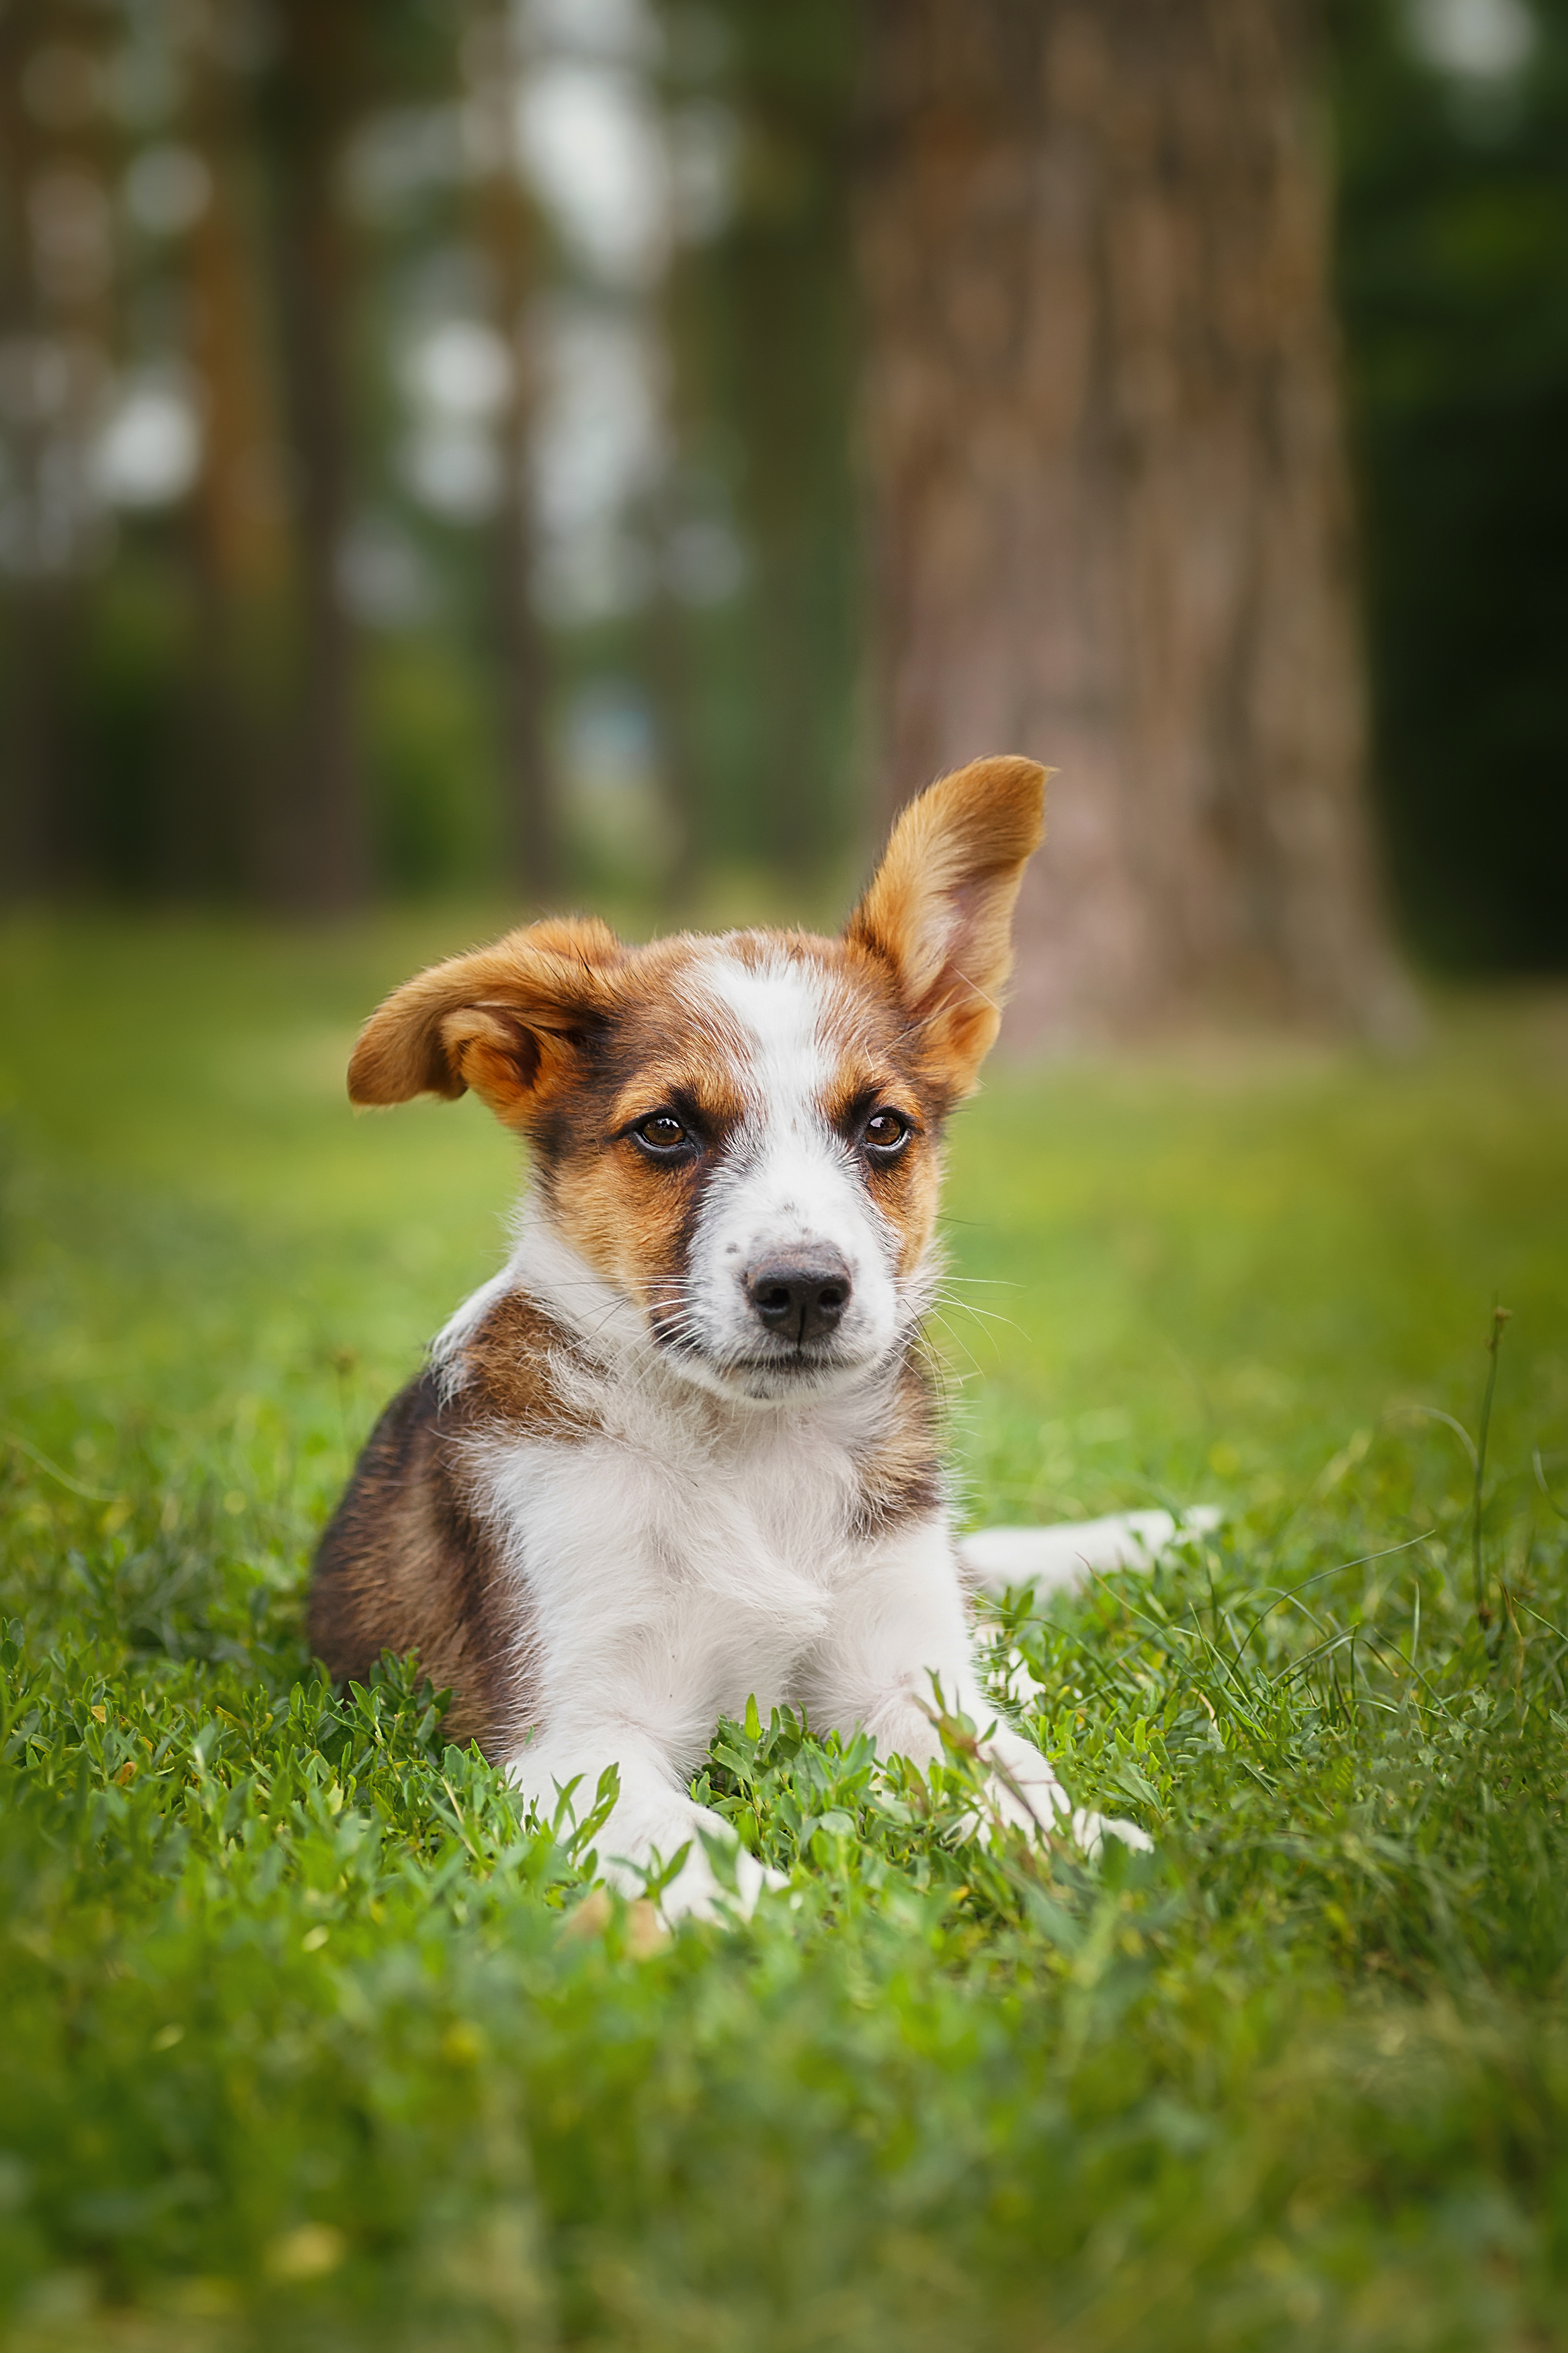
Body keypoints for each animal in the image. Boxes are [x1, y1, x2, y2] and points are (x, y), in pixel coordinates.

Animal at [310, 753, 1142, 1911]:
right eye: (666, 1129)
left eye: (883, 1127)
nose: (803, 1291)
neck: (752, 1460)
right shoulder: (574, 1734)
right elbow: (694, 1844)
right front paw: (777, 1925)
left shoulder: (897, 1680)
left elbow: (1010, 1773)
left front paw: (1093, 1850)